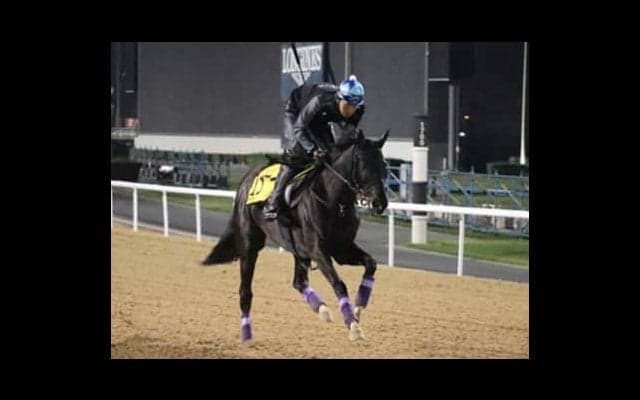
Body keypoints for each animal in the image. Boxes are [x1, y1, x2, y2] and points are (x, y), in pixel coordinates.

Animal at [202, 129, 389, 342]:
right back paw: (246, 333)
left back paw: (322, 309)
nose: (379, 203)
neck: (334, 202)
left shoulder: (342, 249)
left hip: (298, 249)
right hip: (250, 245)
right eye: (364, 164)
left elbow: (371, 264)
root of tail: (246, 179)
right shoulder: (318, 251)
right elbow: (339, 283)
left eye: (383, 164)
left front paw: (357, 309)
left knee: (298, 281)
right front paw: (354, 326)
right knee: (245, 291)